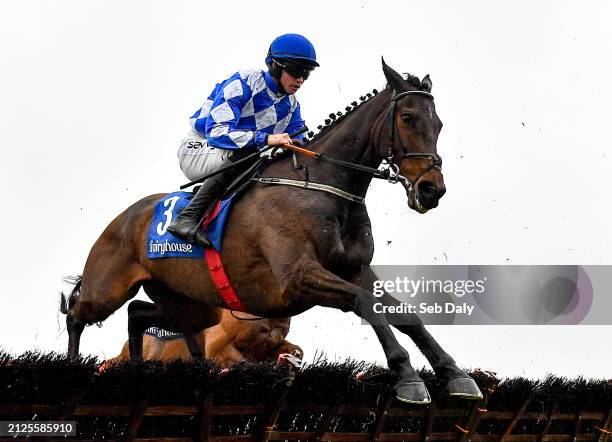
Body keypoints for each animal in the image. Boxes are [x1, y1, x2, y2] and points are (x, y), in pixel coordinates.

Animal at [62, 59, 482, 404]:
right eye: (408, 117)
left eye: (439, 123)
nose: (431, 189)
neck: (322, 187)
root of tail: (122, 218)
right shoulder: (299, 277)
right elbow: (366, 304)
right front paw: (409, 379)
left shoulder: (356, 270)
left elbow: (403, 314)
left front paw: (456, 375)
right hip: (107, 289)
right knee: (77, 313)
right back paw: (71, 369)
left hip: (192, 304)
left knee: (139, 314)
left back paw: (144, 370)